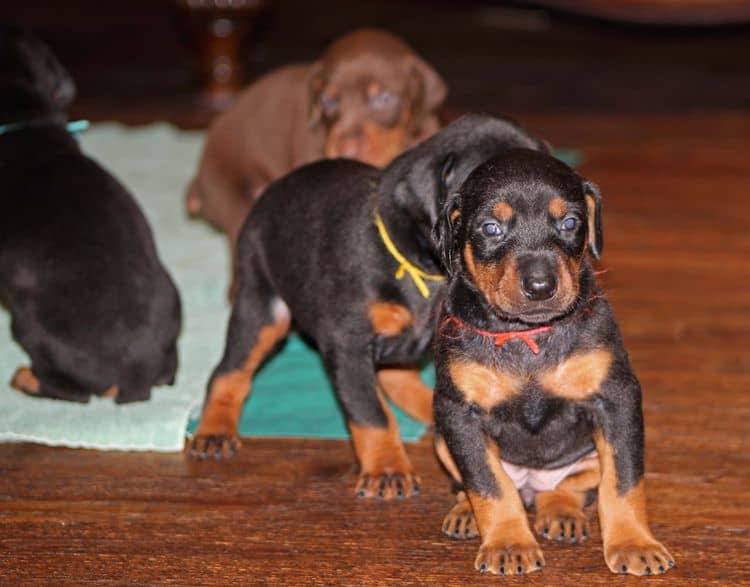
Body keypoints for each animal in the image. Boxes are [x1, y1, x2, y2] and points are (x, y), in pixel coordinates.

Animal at [189, 115, 548, 500]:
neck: (426, 270)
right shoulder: (348, 343)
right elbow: (371, 413)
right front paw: (387, 471)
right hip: (262, 305)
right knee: (230, 370)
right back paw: (214, 431)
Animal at [434, 149, 676, 576]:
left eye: (569, 223)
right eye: (491, 228)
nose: (541, 286)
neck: (528, 336)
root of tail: (533, 484)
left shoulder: (616, 399)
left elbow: (623, 482)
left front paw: (634, 544)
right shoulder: (458, 412)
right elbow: (487, 483)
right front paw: (509, 545)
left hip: (584, 457)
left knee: (569, 487)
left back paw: (561, 513)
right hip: (441, 439)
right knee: (479, 482)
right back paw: (466, 513)